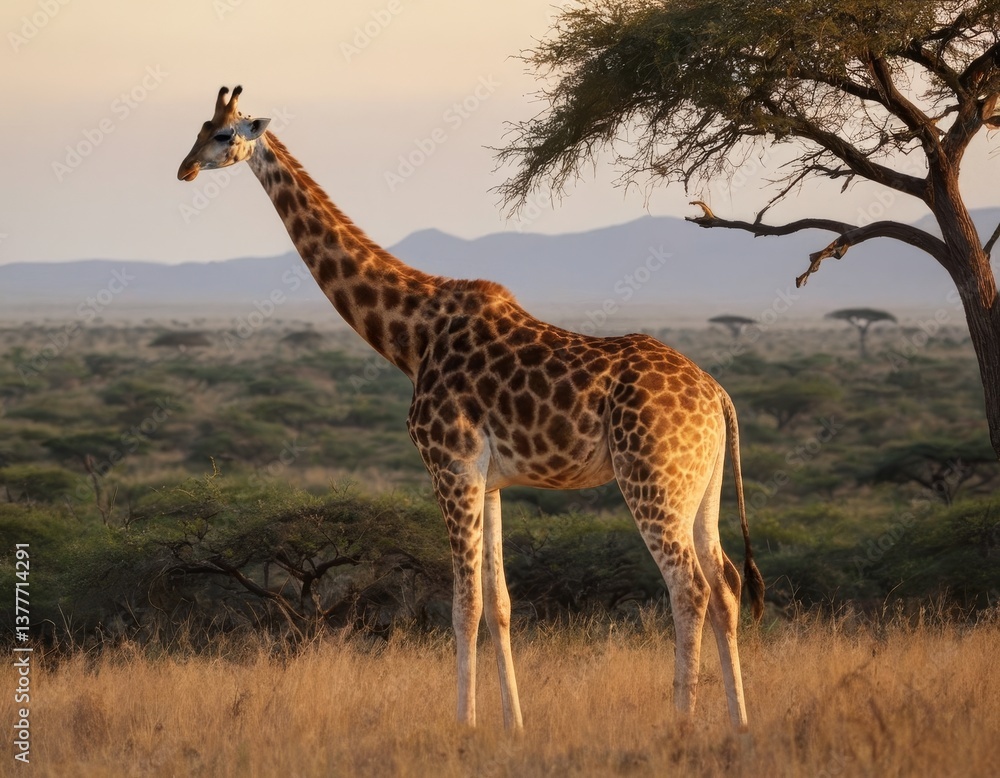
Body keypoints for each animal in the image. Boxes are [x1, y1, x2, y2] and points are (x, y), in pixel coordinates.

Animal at [177, 86, 765, 731]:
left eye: (224, 135)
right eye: (199, 127)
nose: (184, 169)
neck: (412, 335)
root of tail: (717, 393)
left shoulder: (450, 464)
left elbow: (464, 603)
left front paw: (466, 723)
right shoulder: (490, 479)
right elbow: (501, 603)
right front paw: (514, 724)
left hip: (651, 478)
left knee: (689, 587)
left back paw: (681, 721)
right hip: (700, 485)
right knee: (726, 582)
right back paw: (739, 721)